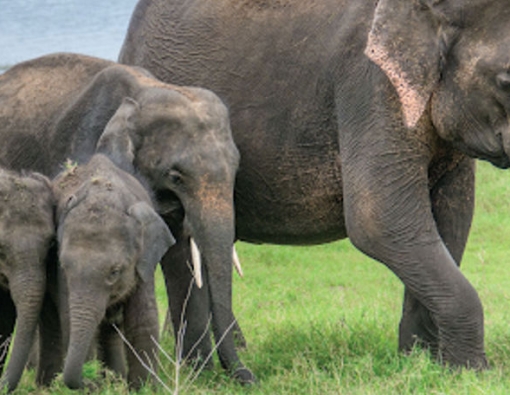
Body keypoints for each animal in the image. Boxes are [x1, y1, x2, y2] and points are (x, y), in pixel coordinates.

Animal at [36, 152, 175, 390]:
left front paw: (143, 389)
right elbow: (70, 319)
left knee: (112, 327)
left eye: (114, 272)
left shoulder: (144, 262)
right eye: (64, 266)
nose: (88, 379)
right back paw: (47, 385)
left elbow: (143, 320)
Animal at [117, 0, 510, 384]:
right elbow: (378, 222)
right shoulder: (369, 85)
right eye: (506, 80)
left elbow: (453, 219)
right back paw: (199, 369)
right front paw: (472, 373)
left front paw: (422, 364)